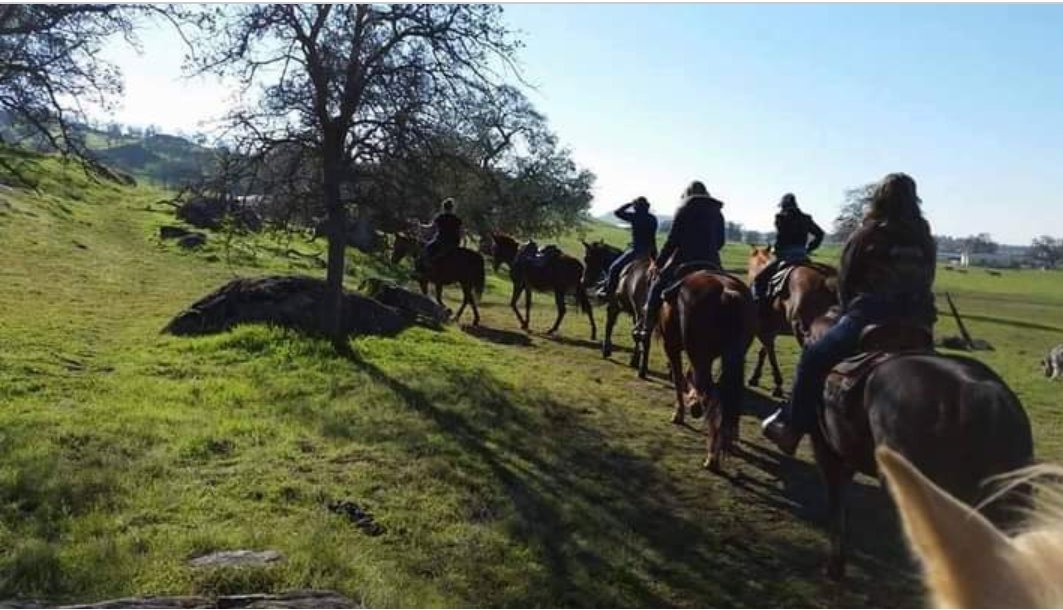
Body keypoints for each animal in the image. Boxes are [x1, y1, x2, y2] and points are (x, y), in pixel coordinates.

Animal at [582, 240, 654, 374]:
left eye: (587, 258)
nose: (584, 281)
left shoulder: (613, 306)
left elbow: (609, 325)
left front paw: (606, 350)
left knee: (641, 334)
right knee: (644, 335)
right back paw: (643, 366)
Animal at [654, 268, 756, 473]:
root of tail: (727, 293)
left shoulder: (672, 347)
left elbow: (679, 379)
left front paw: (680, 412)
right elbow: (688, 376)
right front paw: (693, 400)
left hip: (697, 353)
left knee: (711, 393)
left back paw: (712, 456)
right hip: (727, 357)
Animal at [748, 246, 837, 399]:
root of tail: (827, 280)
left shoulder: (764, 331)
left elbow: (770, 354)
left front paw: (777, 385)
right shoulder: (770, 331)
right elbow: (763, 352)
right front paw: (755, 377)